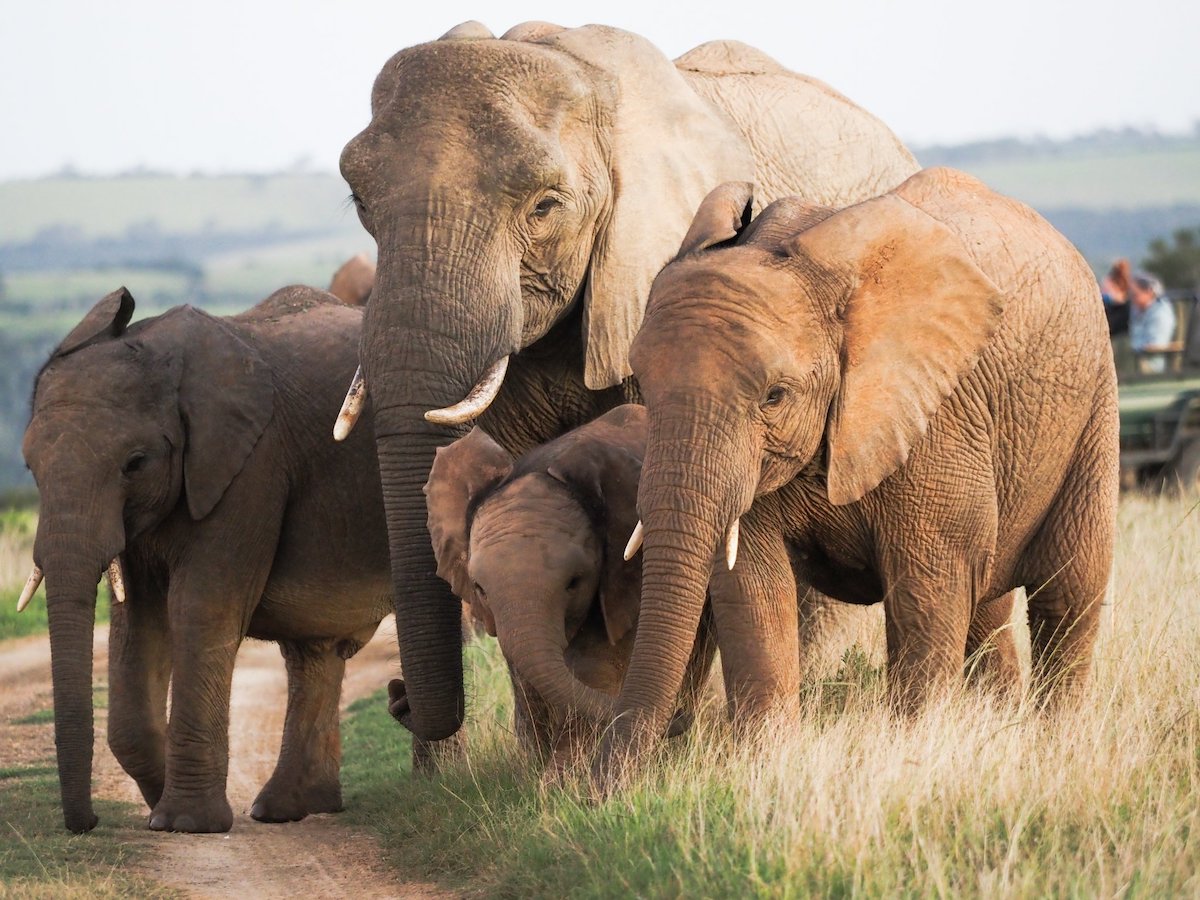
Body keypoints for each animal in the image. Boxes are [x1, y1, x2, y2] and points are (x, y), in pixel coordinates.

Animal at [19, 285, 393, 835]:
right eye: (29, 467)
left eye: (135, 463)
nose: (87, 823)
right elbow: (138, 624)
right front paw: (161, 810)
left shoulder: (251, 466)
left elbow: (199, 609)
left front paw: (185, 824)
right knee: (314, 651)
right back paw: (289, 809)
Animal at [427, 408, 715, 768]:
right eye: (479, 588)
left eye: (574, 582)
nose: (677, 717)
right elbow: (527, 671)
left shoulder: (625, 572)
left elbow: (597, 662)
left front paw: (563, 773)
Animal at [595, 168, 1118, 782]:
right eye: (643, 387)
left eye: (775, 396)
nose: (605, 787)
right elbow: (754, 585)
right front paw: (768, 763)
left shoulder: (937, 413)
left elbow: (928, 583)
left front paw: (918, 751)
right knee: (987, 605)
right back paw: (999, 725)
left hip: (1094, 404)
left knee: (1068, 593)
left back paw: (1054, 739)